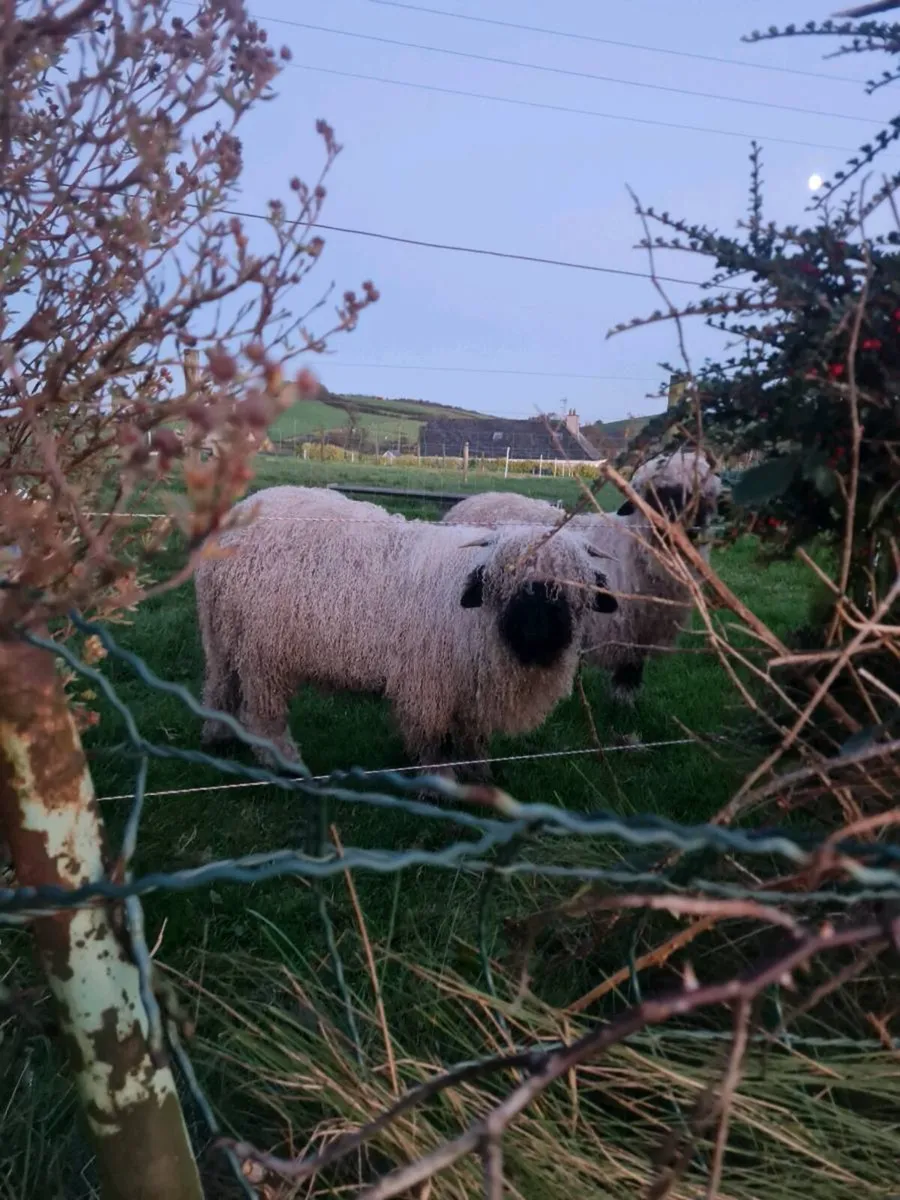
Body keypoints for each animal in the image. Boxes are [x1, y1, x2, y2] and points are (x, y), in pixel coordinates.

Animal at [194, 485, 619, 781]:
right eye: (504, 586)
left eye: (573, 592)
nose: (537, 635)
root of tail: (238, 515)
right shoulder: (428, 685)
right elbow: (434, 740)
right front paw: (441, 781)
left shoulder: (471, 688)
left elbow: (473, 738)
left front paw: (480, 774)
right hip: (264, 652)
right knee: (263, 715)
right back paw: (285, 762)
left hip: (221, 635)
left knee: (220, 687)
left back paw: (217, 737)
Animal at [442, 450, 723, 704]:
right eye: (657, 495)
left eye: (705, 497)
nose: (690, 531)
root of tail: (473, 500)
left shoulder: (641, 631)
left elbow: (631, 668)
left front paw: (624, 701)